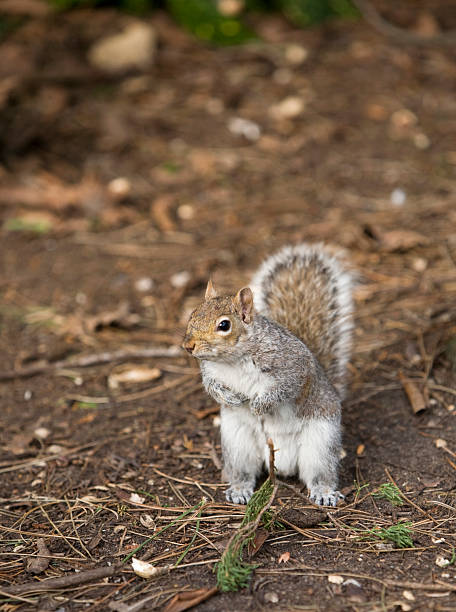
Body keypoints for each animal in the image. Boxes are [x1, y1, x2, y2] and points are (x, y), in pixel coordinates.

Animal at [182, 244, 352, 506]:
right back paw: (239, 489)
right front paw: (230, 398)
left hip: (320, 442)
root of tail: (284, 463)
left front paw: (261, 405)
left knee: (320, 472)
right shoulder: (210, 372)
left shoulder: (293, 364)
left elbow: (286, 386)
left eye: (224, 325)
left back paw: (324, 492)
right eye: (193, 314)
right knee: (244, 471)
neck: (233, 360)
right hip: (238, 443)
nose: (188, 346)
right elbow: (212, 387)